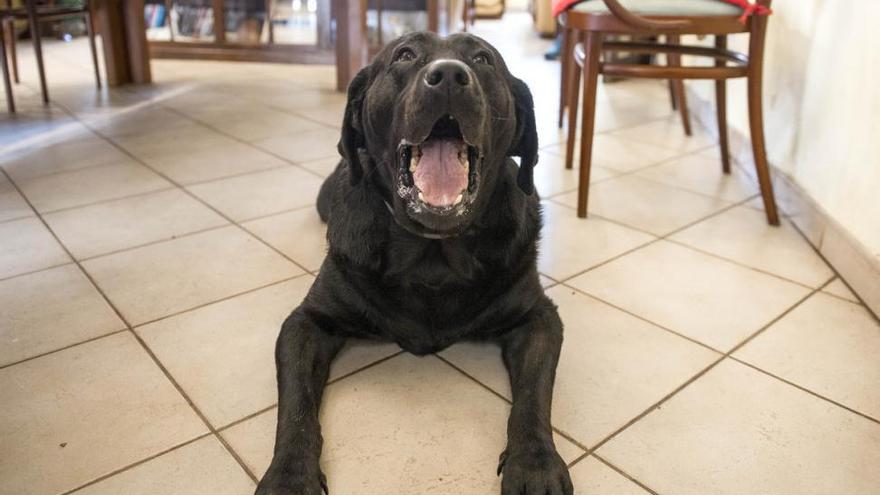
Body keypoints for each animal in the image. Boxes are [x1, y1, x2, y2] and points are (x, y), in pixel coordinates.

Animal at [256, 32, 572, 495]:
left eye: (483, 59)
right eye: (404, 55)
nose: (449, 77)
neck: (432, 256)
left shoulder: (538, 318)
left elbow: (533, 399)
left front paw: (535, 464)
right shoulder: (306, 323)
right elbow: (296, 409)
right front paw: (289, 478)